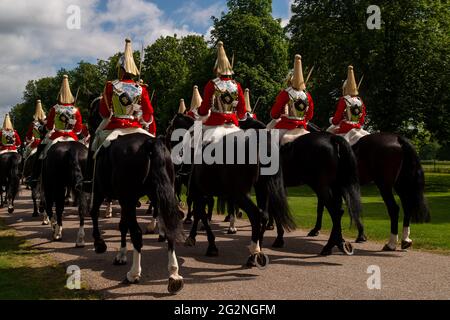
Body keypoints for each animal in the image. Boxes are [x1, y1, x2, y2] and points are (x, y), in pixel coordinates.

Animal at [89, 98, 184, 296]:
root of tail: (150, 144)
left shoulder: (105, 192)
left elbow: (96, 214)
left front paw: (101, 244)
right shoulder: (127, 200)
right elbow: (122, 224)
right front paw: (121, 254)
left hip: (127, 198)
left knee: (137, 233)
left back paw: (133, 274)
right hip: (159, 196)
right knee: (169, 229)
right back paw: (174, 275)